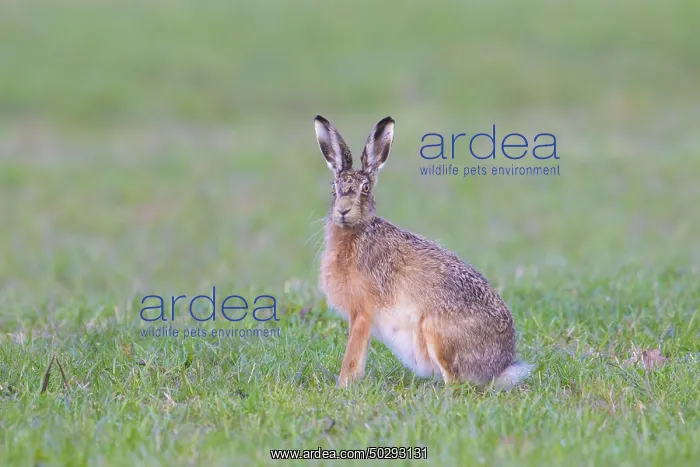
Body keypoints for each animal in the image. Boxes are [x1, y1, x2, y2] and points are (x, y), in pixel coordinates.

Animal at [313, 115, 533, 389]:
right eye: (334, 187)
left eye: (365, 188)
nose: (342, 210)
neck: (357, 232)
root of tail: (499, 368)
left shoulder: (362, 311)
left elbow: (353, 355)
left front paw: (343, 385)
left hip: (435, 331)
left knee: (456, 382)